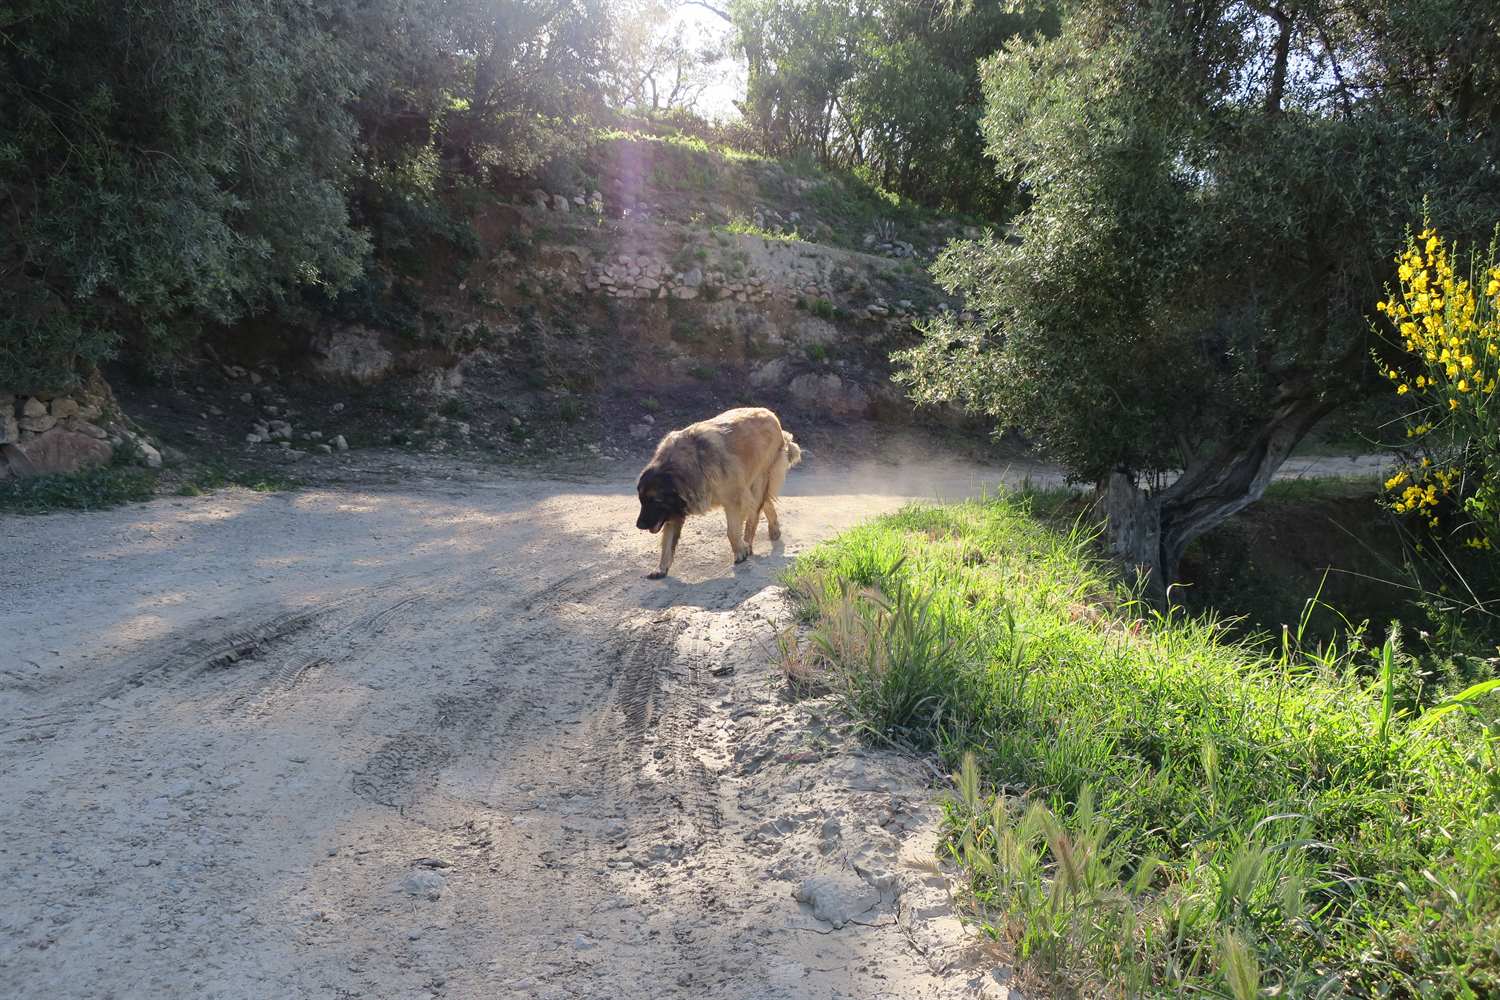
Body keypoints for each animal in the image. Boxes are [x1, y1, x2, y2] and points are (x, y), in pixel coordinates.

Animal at [636, 407, 802, 578]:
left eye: (655, 501)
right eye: (642, 501)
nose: (639, 525)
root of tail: (770, 414)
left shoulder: (734, 500)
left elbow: (732, 531)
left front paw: (740, 552)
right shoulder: (674, 512)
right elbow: (667, 544)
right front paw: (661, 568)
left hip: (758, 481)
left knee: (754, 515)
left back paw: (749, 543)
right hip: (751, 486)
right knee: (765, 503)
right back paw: (773, 529)